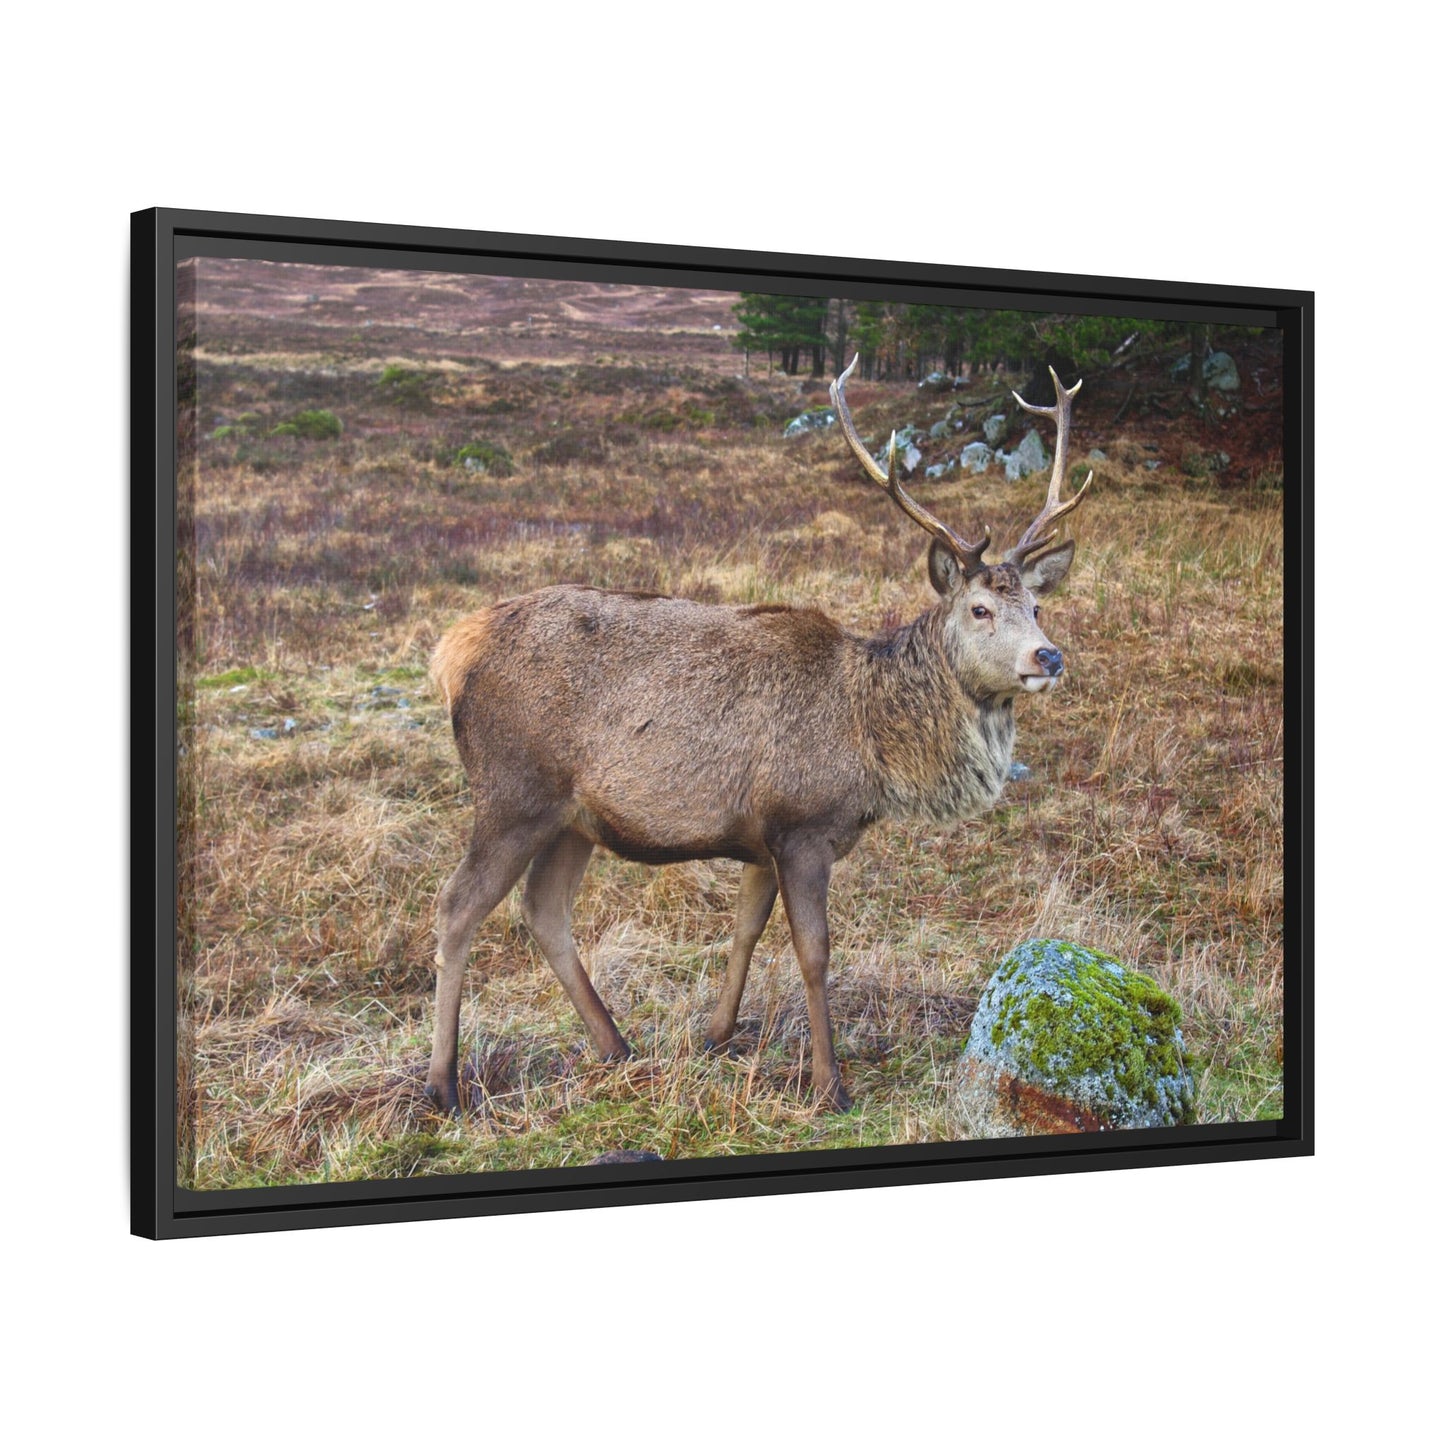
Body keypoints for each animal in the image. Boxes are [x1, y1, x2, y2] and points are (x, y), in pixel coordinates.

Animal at [424, 357, 1091, 1114]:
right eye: (979, 608)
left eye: (1036, 605)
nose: (1048, 657)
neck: (872, 745)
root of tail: (453, 649)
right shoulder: (801, 826)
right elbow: (814, 952)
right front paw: (829, 1083)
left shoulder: (758, 837)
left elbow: (744, 929)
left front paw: (717, 1034)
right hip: (513, 792)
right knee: (456, 906)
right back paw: (443, 1083)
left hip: (573, 817)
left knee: (544, 909)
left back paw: (616, 1045)